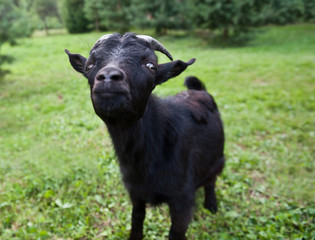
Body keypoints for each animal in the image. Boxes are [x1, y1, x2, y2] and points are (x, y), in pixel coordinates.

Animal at [66, 32, 225, 240]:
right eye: (90, 66)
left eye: (151, 66)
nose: (109, 77)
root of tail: (198, 89)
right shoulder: (136, 192)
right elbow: (137, 221)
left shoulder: (181, 200)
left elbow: (176, 232)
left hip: (218, 158)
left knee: (212, 180)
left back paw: (211, 205)